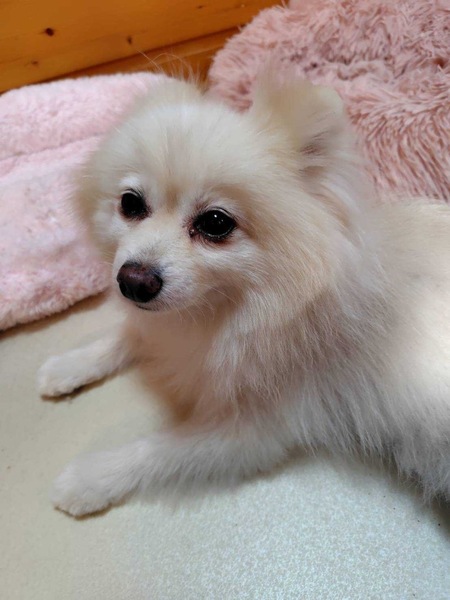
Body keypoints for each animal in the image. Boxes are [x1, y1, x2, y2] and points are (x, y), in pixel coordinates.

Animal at [37, 73, 450, 517]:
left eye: (215, 223)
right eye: (130, 204)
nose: (134, 281)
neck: (227, 312)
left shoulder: (254, 429)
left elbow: (158, 451)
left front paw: (89, 478)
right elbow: (129, 335)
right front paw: (67, 366)